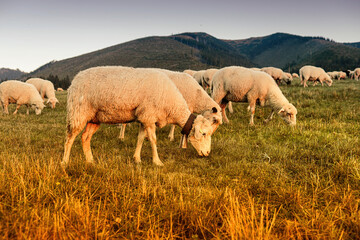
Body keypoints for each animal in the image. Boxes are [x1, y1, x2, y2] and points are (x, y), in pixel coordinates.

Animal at [62, 65, 218, 167]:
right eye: (204, 133)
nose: (208, 153)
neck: (172, 105)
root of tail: (76, 78)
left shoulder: (145, 117)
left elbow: (141, 139)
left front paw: (137, 159)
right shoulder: (149, 116)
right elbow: (153, 140)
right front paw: (157, 162)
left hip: (94, 117)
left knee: (85, 137)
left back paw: (90, 160)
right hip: (78, 112)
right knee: (70, 137)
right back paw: (65, 162)